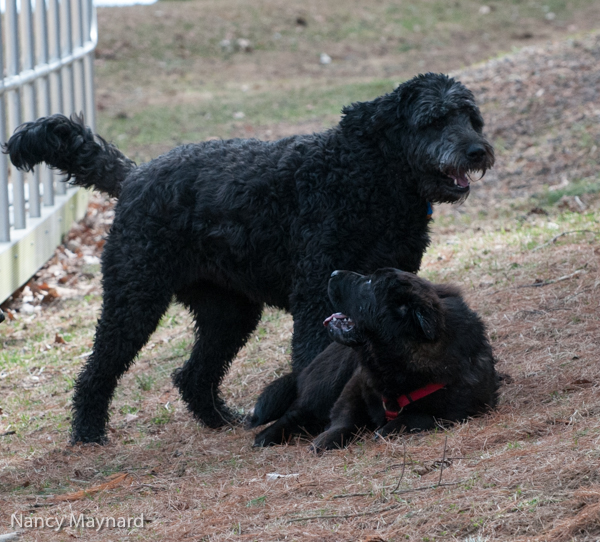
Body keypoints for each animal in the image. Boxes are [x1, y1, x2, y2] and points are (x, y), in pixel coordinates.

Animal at [254, 268, 502, 450]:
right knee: (296, 412)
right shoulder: (355, 384)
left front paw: (387, 429)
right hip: (326, 385)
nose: (333, 272)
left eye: (369, 284)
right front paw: (327, 438)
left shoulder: (463, 411)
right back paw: (266, 436)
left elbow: (419, 417)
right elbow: (345, 418)